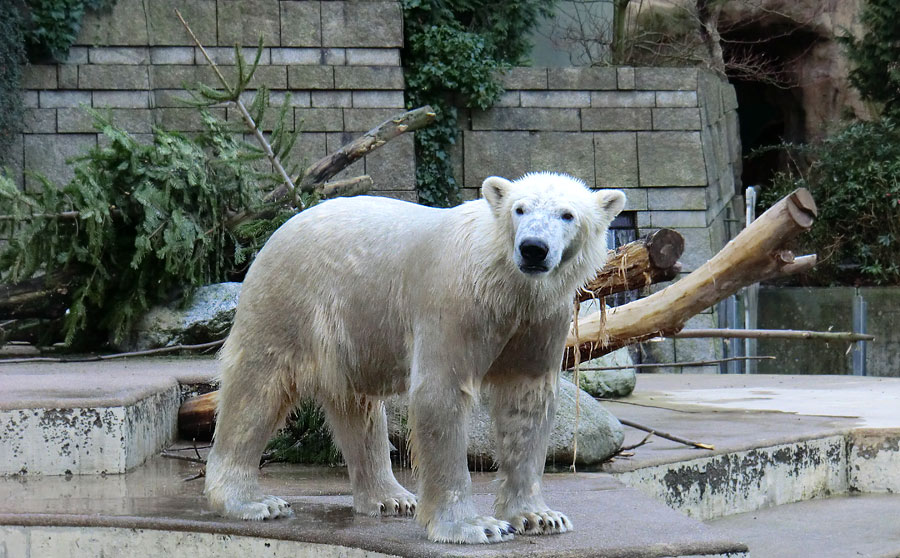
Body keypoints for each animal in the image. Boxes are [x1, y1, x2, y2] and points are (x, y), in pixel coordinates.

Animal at [206, 173, 624, 544]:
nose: (533, 248)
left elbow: (527, 400)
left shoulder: (541, 318)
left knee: (358, 406)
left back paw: (390, 498)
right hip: (289, 300)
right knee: (258, 388)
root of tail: (279, 230)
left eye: (567, 214)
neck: (505, 281)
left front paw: (540, 517)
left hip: (352, 328)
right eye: (519, 209)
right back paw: (252, 501)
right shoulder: (457, 302)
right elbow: (441, 393)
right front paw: (475, 527)